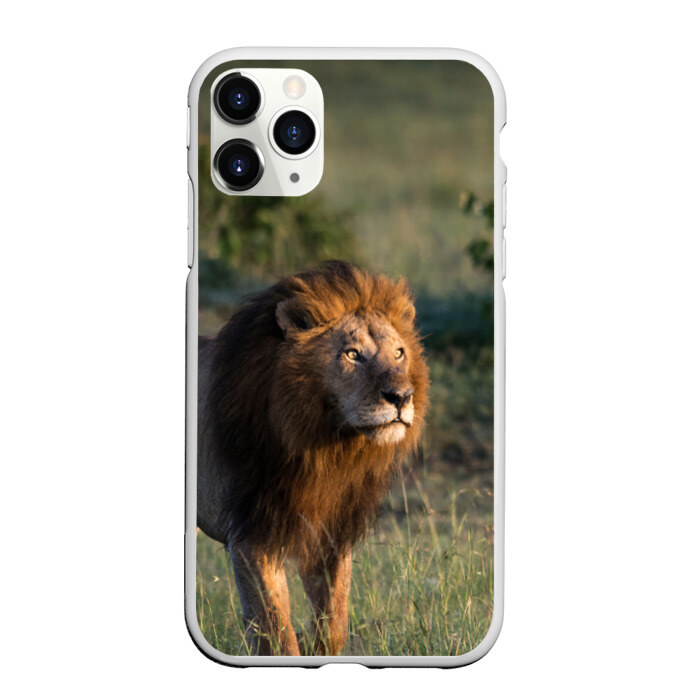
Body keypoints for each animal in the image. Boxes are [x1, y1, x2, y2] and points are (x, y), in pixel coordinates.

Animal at [197, 261, 429, 655]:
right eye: (352, 354)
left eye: (399, 353)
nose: (401, 396)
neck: (326, 448)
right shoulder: (250, 537)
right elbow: (276, 635)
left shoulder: (329, 532)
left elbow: (333, 624)